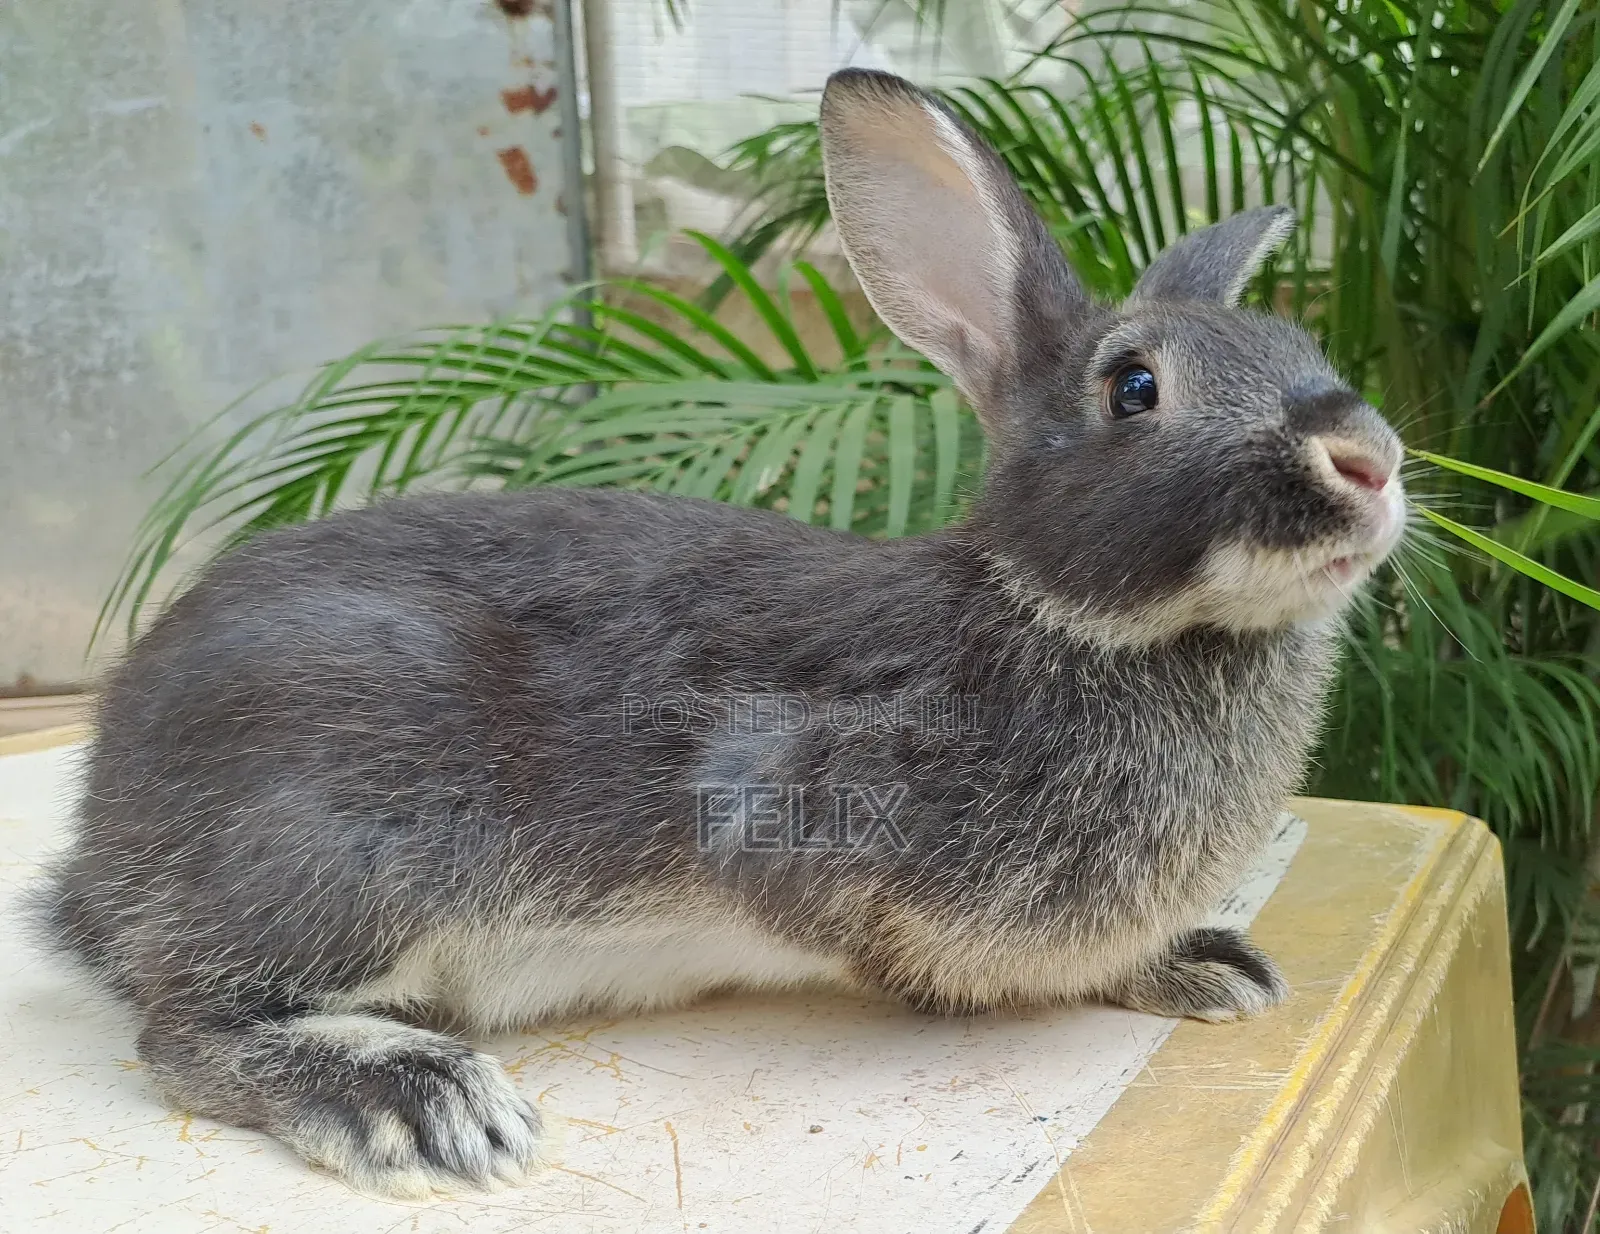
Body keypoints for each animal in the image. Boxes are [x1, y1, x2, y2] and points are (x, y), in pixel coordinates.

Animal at [36, 67, 1405, 1200]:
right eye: (1133, 387)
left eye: (1304, 348)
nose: (1369, 456)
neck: (1056, 613)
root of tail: (99, 840)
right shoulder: (805, 818)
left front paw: (1203, 962)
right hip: (346, 838)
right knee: (185, 1029)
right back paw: (413, 1101)